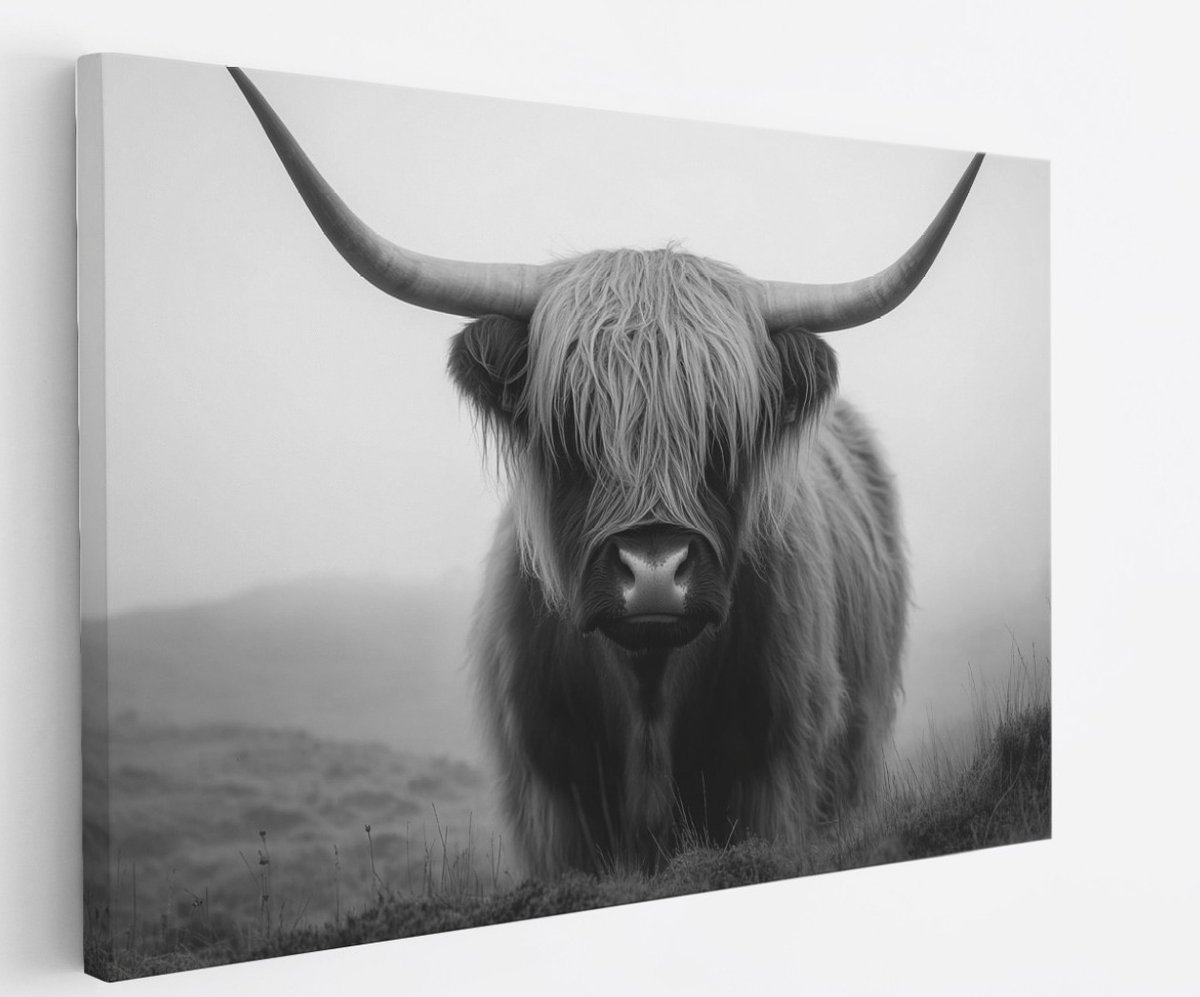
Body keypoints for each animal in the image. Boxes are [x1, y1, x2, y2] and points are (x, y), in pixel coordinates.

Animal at [229, 68, 982, 877]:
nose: (653, 572)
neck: (647, 689)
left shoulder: (775, 777)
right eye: (568, 424)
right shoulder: (553, 804)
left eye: (724, 429)